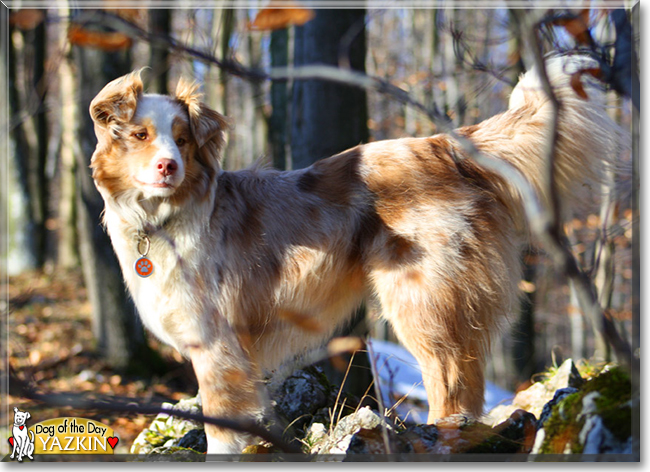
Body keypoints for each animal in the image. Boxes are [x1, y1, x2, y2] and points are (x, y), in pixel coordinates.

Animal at [91, 55, 624, 454]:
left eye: (182, 139)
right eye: (140, 135)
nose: (168, 166)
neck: (162, 221)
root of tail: (447, 145)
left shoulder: (218, 346)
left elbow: (221, 430)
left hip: (422, 300)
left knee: (452, 382)